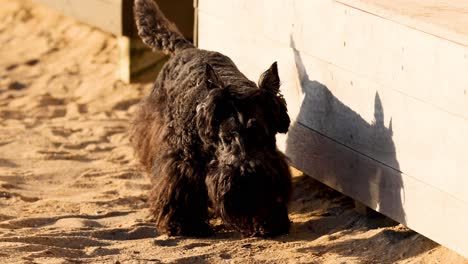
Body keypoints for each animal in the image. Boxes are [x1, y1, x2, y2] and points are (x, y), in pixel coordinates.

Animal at [131, 0, 292, 237]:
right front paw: (184, 224)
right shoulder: (183, 161)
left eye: (260, 133)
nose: (248, 178)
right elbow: (180, 188)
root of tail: (186, 47)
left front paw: (267, 221)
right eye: (226, 136)